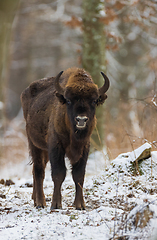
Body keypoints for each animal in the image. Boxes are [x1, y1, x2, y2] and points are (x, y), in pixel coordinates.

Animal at [20, 67, 109, 210]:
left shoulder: (84, 147)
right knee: (39, 171)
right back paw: (40, 202)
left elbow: (79, 175)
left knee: (37, 170)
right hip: (35, 144)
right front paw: (56, 204)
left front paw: (80, 204)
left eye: (94, 101)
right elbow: (59, 174)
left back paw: (35, 199)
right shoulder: (56, 146)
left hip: (44, 151)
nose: (81, 119)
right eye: (68, 100)